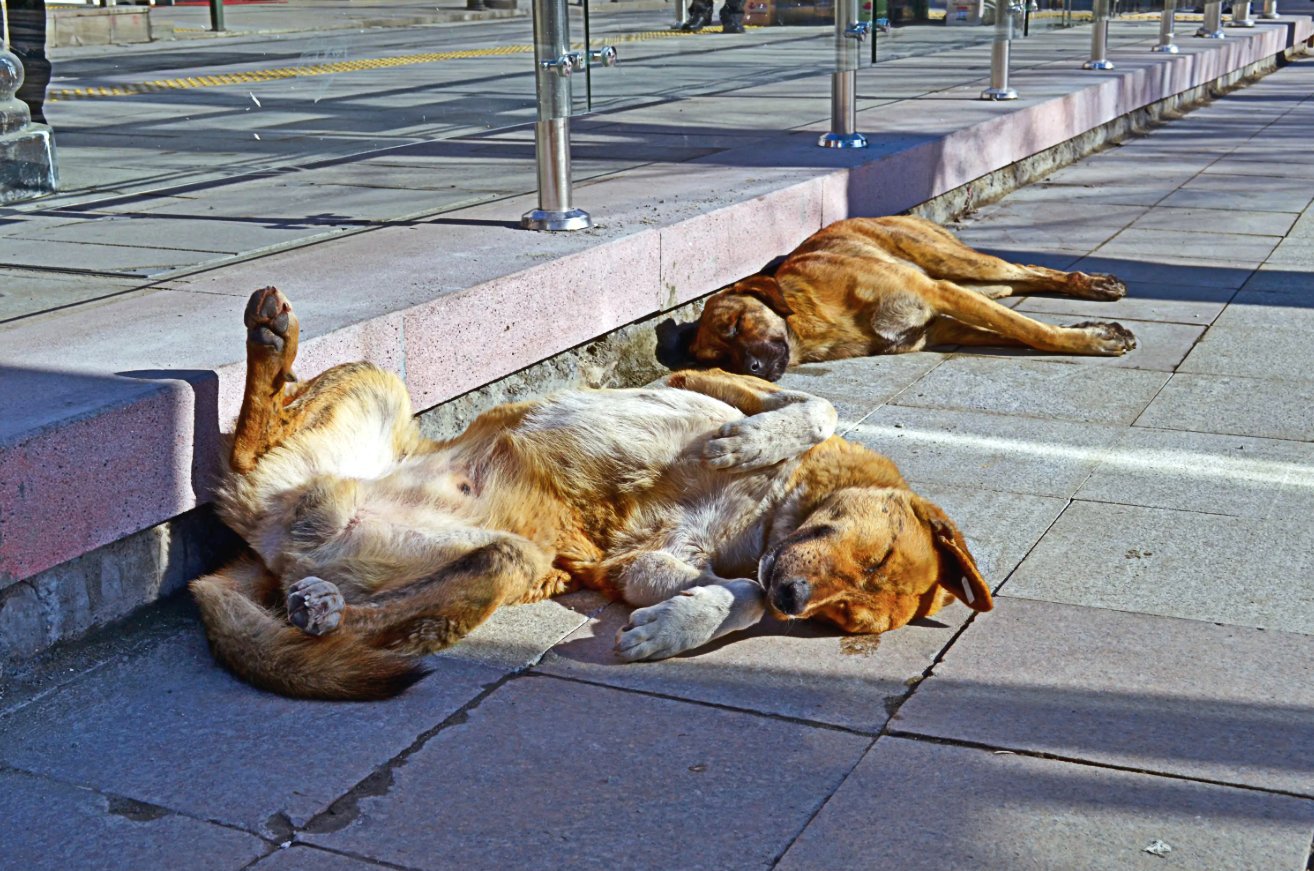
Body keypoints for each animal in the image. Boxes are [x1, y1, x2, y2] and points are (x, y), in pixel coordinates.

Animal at [191, 289, 988, 698]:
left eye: (843, 619)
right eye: (875, 554)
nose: (796, 600)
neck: (770, 517)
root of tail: (257, 550)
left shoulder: (635, 566)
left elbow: (741, 593)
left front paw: (672, 628)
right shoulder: (700, 381)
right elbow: (816, 407)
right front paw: (746, 443)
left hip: (509, 559)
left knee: (385, 616)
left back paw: (319, 606)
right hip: (375, 384)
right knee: (248, 441)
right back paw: (269, 340)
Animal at [672, 216, 1135, 380]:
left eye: (736, 325)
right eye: (718, 359)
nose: (750, 369)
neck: (812, 319)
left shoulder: (936, 293)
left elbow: (1031, 330)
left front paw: (1091, 339)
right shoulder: (942, 328)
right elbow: (1018, 331)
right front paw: (1093, 332)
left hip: (951, 263)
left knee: (1027, 270)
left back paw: (1092, 284)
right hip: (971, 282)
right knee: (1015, 285)